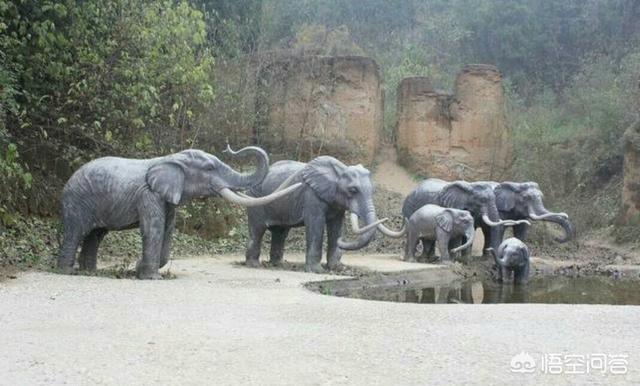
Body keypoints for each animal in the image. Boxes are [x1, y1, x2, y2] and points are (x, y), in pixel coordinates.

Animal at [58, 145, 302, 278]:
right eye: (209, 168)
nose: (230, 147)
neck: (171, 158)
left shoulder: (168, 198)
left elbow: (167, 230)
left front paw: (139, 268)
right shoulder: (149, 195)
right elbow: (154, 229)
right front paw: (150, 277)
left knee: (95, 235)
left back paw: (90, 271)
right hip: (77, 201)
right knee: (76, 232)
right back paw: (68, 272)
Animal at [242, 156, 398, 272]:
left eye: (373, 191)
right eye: (353, 190)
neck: (338, 172)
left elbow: (336, 226)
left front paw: (336, 268)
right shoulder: (312, 196)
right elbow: (316, 225)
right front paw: (317, 271)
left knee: (280, 233)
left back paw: (279, 265)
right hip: (255, 199)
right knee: (258, 230)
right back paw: (254, 265)